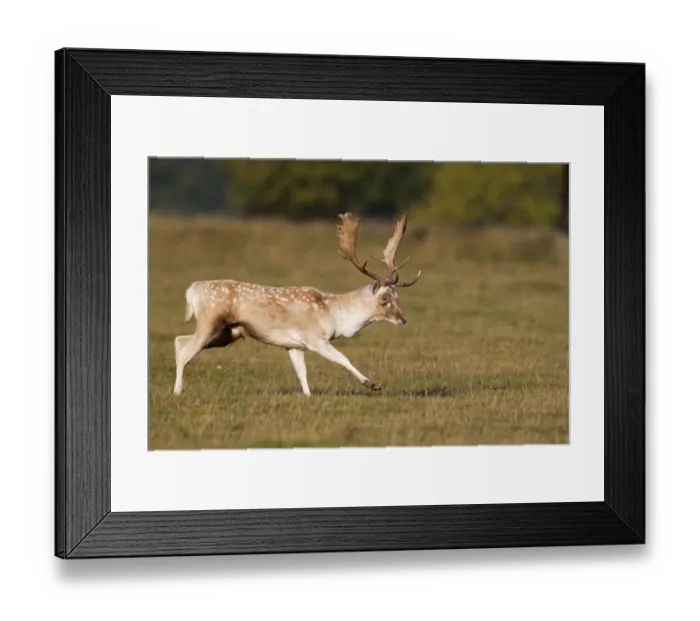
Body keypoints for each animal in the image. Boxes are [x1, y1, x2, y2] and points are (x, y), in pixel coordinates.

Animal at [172, 212, 422, 397]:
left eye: (397, 297)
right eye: (384, 299)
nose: (403, 319)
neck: (335, 314)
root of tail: (193, 289)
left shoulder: (294, 346)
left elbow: (302, 373)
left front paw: (309, 396)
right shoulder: (315, 339)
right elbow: (343, 358)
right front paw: (373, 384)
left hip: (227, 333)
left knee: (179, 341)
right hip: (211, 323)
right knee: (185, 350)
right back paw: (177, 392)